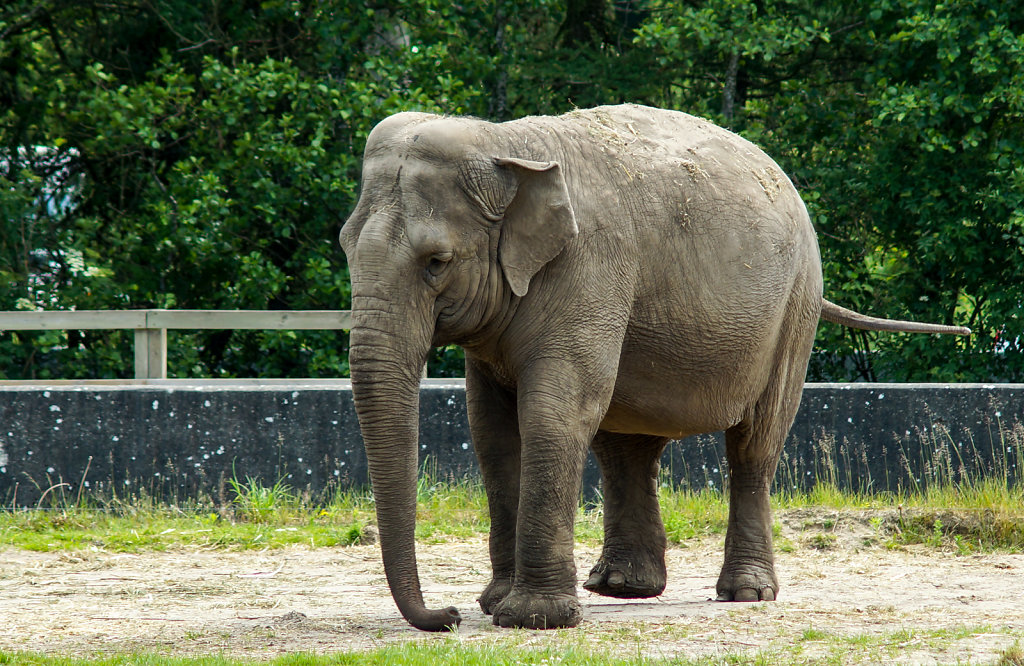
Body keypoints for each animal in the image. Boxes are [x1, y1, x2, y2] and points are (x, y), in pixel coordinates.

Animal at [337, 102, 966, 627]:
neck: (507, 143)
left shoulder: (588, 267)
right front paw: (496, 605)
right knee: (625, 446)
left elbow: (555, 412)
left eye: (436, 262)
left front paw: (530, 619)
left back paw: (746, 594)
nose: (445, 615)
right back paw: (620, 587)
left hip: (795, 307)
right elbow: (491, 430)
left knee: (755, 444)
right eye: (344, 245)